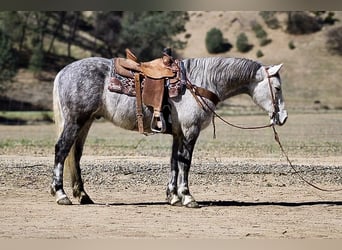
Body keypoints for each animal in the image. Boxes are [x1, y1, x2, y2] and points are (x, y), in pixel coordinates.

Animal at [50, 56, 286, 207]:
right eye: (277, 88)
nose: (282, 118)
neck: (200, 83)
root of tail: (63, 71)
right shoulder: (190, 131)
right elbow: (185, 163)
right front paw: (188, 197)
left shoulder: (178, 134)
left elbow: (174, 161)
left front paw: (173, 196)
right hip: (75, 121)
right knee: (62, 150)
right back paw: (61, 194)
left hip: (86, 122)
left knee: (75, 155)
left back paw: (83, 195)